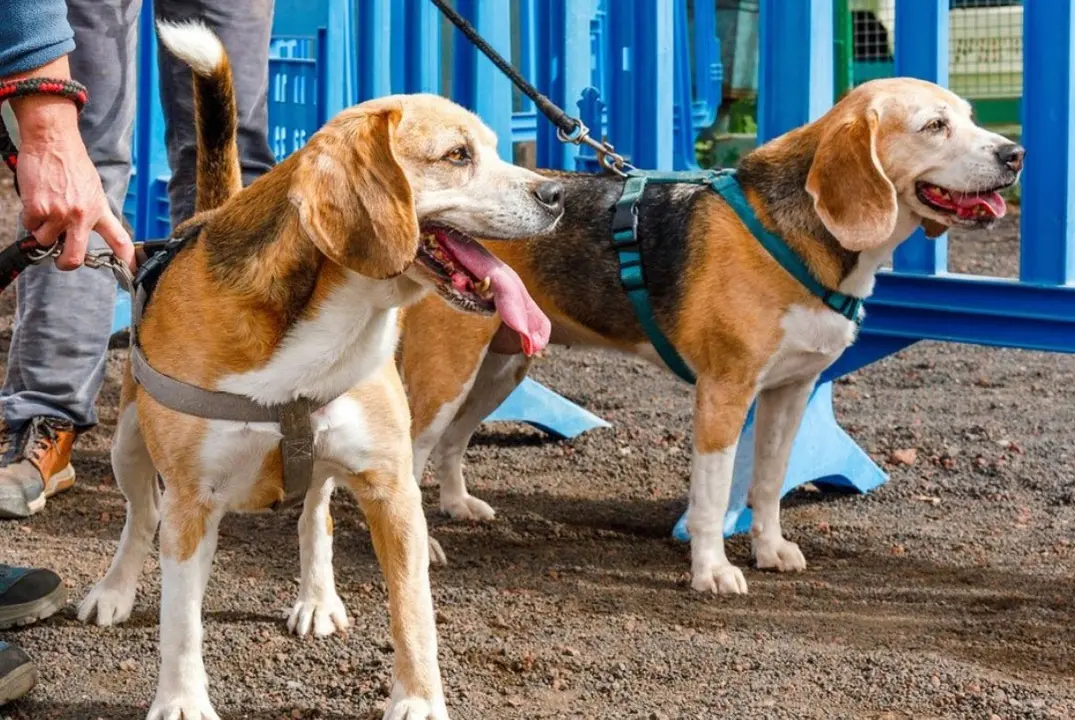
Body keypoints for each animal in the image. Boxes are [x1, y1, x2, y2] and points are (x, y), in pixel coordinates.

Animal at [76, 22, 563, 720]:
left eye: (498, 150)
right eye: (457, 155)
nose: (558, 194)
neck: (324, 327)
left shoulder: (392, 490)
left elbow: (414, 612)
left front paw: (418, 699)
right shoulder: (192, 499)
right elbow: (179, 620)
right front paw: (181, 700)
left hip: (328, 467)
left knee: (314, 519)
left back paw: (316, 598)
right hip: (127, 444)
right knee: (142, 518)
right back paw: (115, 590)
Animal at [397, 77, 1023, 597]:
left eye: (971, 117)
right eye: (934, 125)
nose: (1014, 155)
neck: (793, 233)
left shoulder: (790, 392)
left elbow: (768, 483)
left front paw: (770, 550)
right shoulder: (725, 392)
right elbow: (714, 494)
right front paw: (713, 571)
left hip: (500, 369)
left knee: (451, 444)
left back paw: (457, 505)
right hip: (447, 372)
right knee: (416, 451)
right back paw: (422, 544)